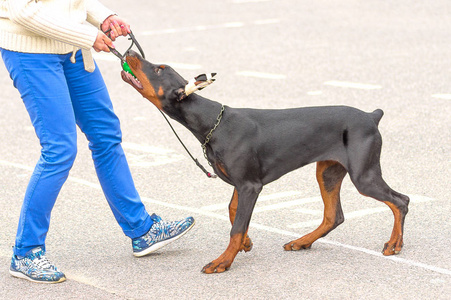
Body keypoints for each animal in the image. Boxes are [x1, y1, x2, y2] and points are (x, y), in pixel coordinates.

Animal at [122, 49, 412, 274]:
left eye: (158, 69)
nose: (131, 51)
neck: (213, 121)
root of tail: (372, 116)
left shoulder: (250, 185)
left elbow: (236, 226)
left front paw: (223, 261)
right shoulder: (241, 183)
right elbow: (233, 211)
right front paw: (246, 243)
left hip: (363, 175)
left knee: (401, 201)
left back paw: (394, 244)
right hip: (328, 172)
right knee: (334, 215)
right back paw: (302, 241)